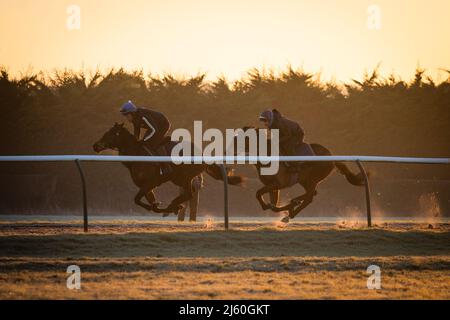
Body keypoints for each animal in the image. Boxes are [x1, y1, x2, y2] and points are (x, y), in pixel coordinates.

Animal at [92, 122, 244, 215]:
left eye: (111, 133)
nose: (95, 145)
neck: (136, 156)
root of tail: (202, 155)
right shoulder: (146, 186)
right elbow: (146, 201)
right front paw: (157, 206)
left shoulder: (151, 182)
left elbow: (138, 200)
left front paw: (163, 207)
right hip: (178, 179)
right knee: (188, 193)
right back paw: (174, 206)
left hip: (185, 176)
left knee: (189, 194)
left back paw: (174, 205)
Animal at [232, 127, 366, 222]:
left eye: (239, 139)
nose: (229, 150)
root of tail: (332, 157)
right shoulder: (272, 185)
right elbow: (272, 204)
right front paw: (288, 205)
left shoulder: (279, 184)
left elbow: (260, 195)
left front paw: (288, 207)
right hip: (305, 180)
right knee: (312, 194)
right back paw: (294, 202)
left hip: (313, 179)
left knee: (309, 198)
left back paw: (290, 213)